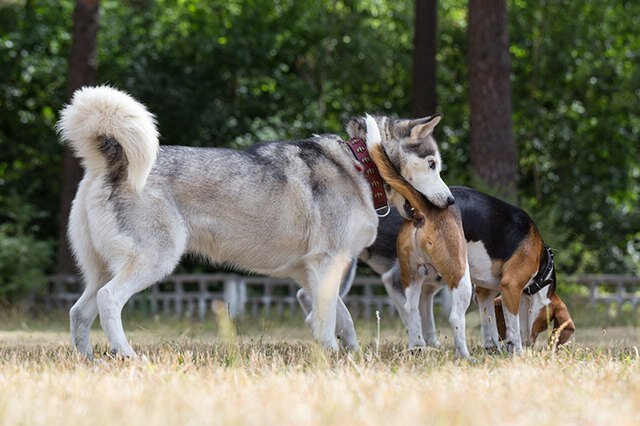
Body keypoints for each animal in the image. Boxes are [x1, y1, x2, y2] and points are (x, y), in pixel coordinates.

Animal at [57, 84, 452, 356]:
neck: (361, 164)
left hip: (101, 269)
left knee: (79, 312)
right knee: (108, 301)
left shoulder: (313, 274)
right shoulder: (329, 263)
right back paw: (127, 354)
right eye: (432, 165)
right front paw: (330, 355)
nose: (449, 201)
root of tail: (111, 163)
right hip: (153, 262)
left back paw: (88, 359)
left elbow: (340, 317)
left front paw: (348, 354)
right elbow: (327, 319)